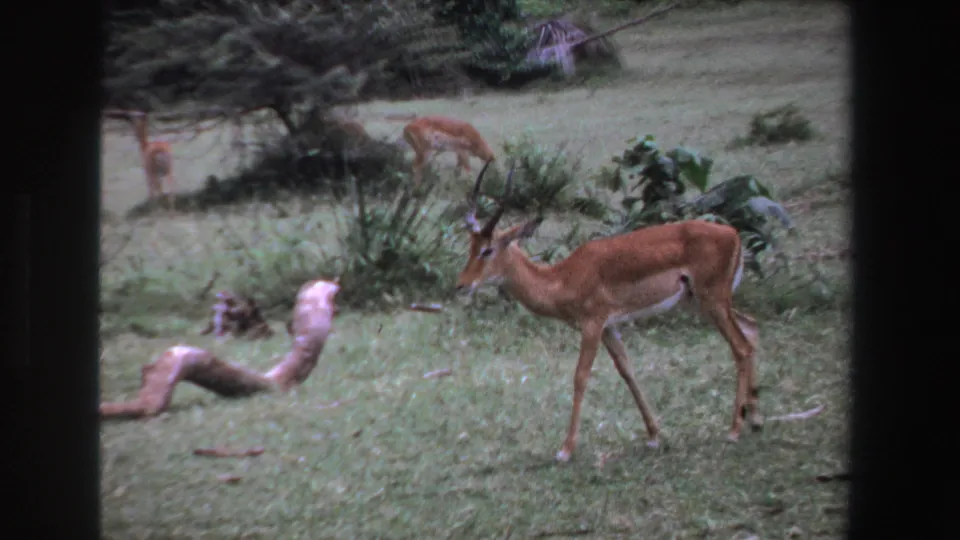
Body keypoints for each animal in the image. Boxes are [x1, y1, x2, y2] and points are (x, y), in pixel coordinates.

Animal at [455, 162, 762, 462]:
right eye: (471, 246)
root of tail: (733, 235)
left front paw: (565, 449)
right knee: (751, 328)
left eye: (488, 250)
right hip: (702, 304)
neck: (563, 278)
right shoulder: (610, 327)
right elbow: (627, 370)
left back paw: (734, 430)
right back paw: (755, 420)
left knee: (741, 347)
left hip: (713, 302)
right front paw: (654, 435)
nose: (461, 285)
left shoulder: (592, 325)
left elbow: (580, 376)